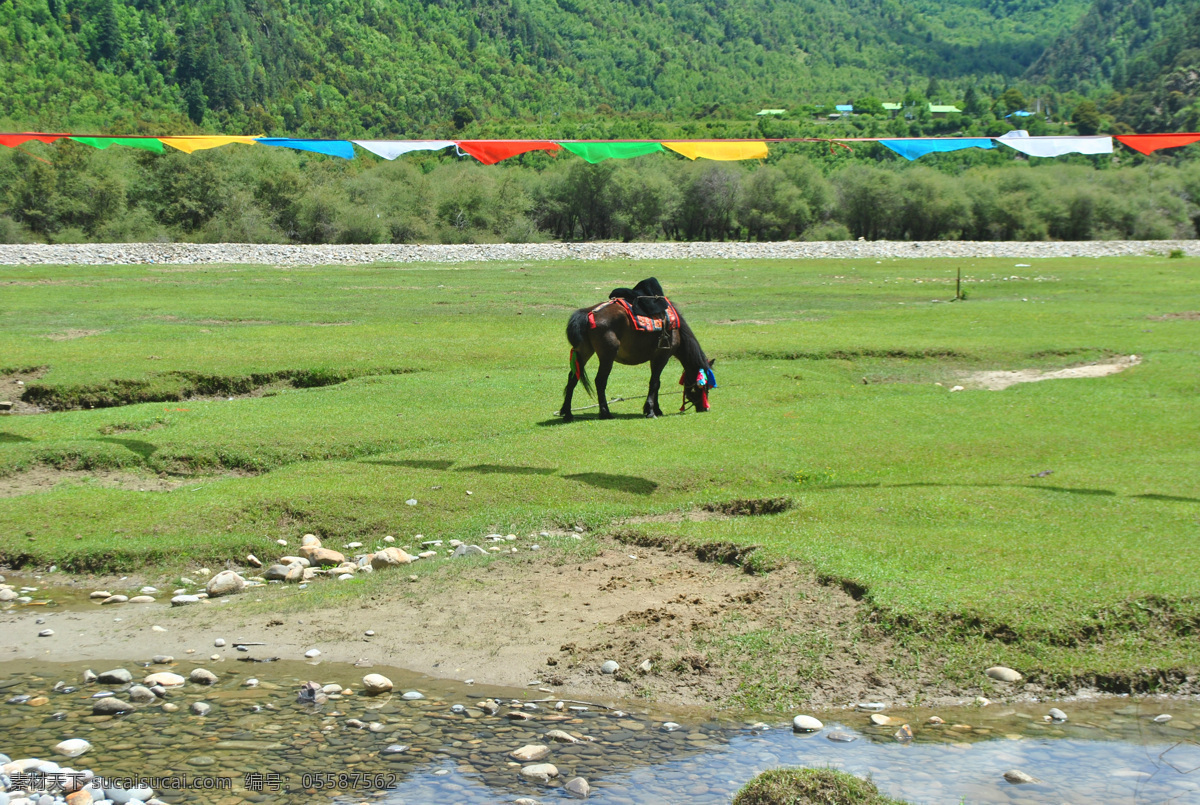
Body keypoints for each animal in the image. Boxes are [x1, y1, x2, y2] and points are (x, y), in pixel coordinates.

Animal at [559, 293, 715, 422]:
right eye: (704, 385)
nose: (705, 408)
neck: (676, 330)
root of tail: (589, 312)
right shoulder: (662, 356)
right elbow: (654, 383)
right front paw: (651, 411)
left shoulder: (655, 358)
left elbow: (657, 382)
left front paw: (657, 409)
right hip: (607, 355)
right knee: (600, 381)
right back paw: (605, 413)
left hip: (583, 352)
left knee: (573, 378)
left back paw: (567, 413)